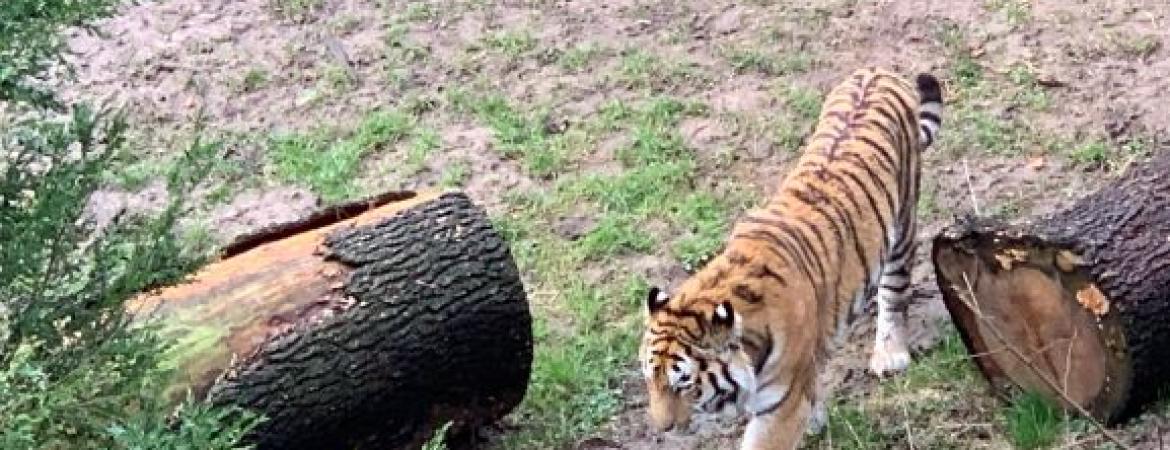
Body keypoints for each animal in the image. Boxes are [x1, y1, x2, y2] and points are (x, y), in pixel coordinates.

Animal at [641, 67, 940, 448]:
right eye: (649, 379)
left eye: (684, 383)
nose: (662, 428)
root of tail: (876, 70)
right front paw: (816, 419)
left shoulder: (781, 405)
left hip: (903, 221)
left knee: (894, 291)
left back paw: (890, 354)